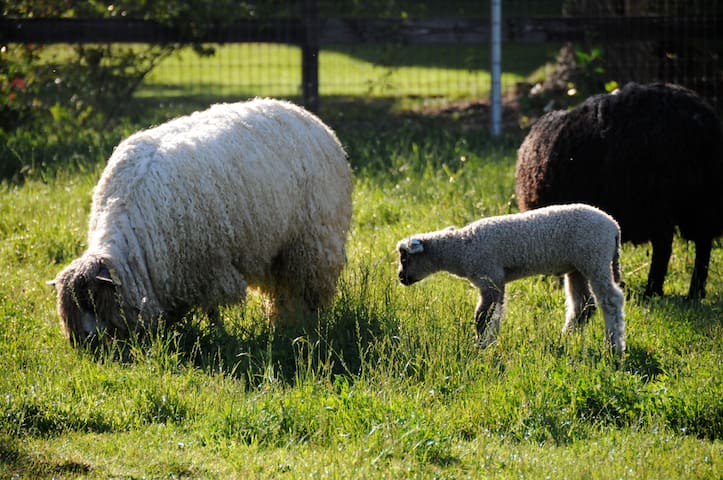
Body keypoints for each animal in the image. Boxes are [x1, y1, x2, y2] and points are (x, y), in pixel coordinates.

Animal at [49, 98, 353, 346]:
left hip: (312, 239)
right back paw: (283, 322)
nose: (86, 343)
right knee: (284, 289)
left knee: (307, 287)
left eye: (93, 302)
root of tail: (304, 114)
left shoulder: (209, 265)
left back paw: (307, 324)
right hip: (280, 248)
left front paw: (219, 334)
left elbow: (212, 308)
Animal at [396, 204, 626, 354]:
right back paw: (566, 337)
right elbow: (493, 315)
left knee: (611, 300)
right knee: (583, 305)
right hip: (577, 267)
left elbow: (482, 317)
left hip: (595, 258)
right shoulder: (495, 281)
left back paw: (614, 347)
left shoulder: (490, 277)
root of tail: (614, 226)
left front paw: (480, 346)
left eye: (404, 258)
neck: (460, 248)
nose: (400, 278)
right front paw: (488, 344)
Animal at [516, 82, 723, 300]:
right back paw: (694, 292)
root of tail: (699, 121)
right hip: (698, 199)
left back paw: (653, 290)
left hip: (654, 200)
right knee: (702, 240)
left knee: (665, 244)